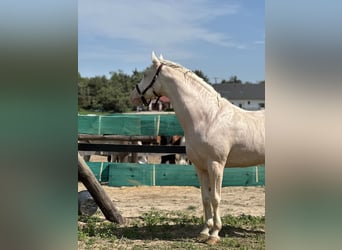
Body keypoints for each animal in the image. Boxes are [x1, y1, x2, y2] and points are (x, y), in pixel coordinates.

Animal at [130, 51, 266, 245]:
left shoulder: (216, 165)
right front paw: (204, 232)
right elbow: (205, 198)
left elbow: (216, 198)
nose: (133, 95)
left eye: (145, 74)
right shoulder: (200, 167)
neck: (209, 118)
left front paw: (215, 234)